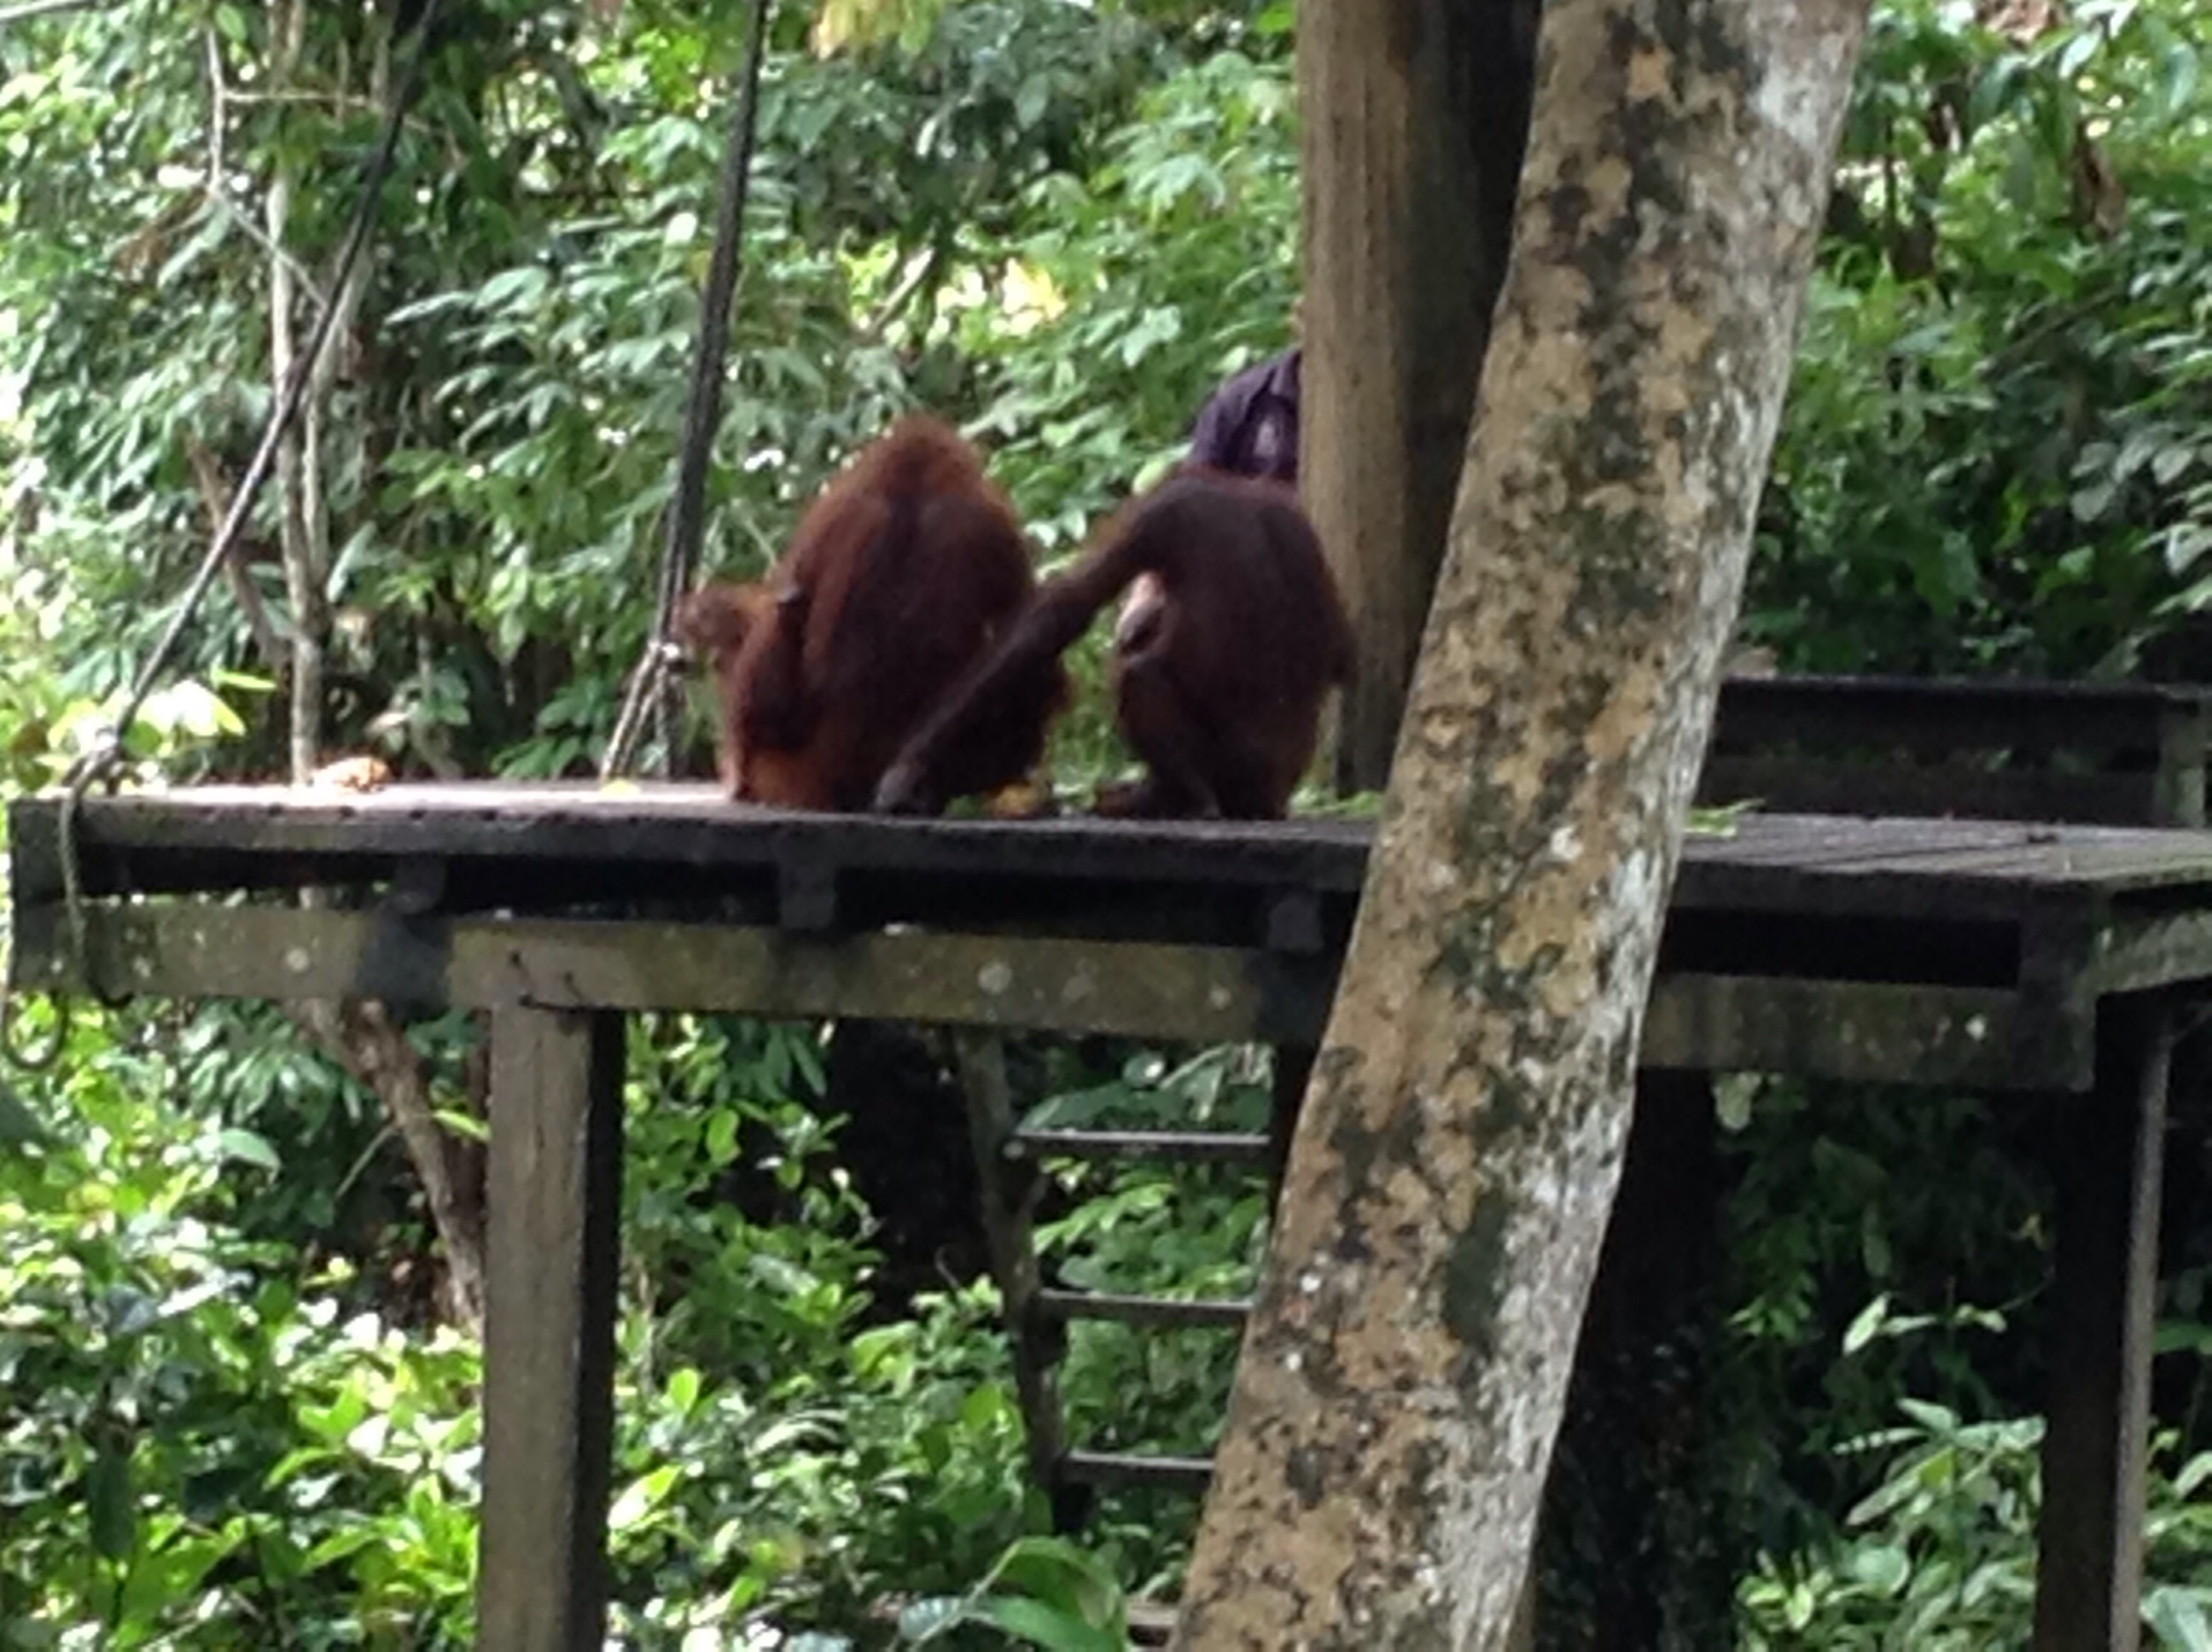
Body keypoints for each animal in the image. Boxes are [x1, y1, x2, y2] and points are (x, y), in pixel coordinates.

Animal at [872, 467, 1355, 820]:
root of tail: (1271, 800)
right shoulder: (1295, 521)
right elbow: (1341, 648)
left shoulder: (1163, 510)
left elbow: (1062, 611)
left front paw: (909, 768)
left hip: (1236, 773)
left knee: (1136, 674)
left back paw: (1181, 799)